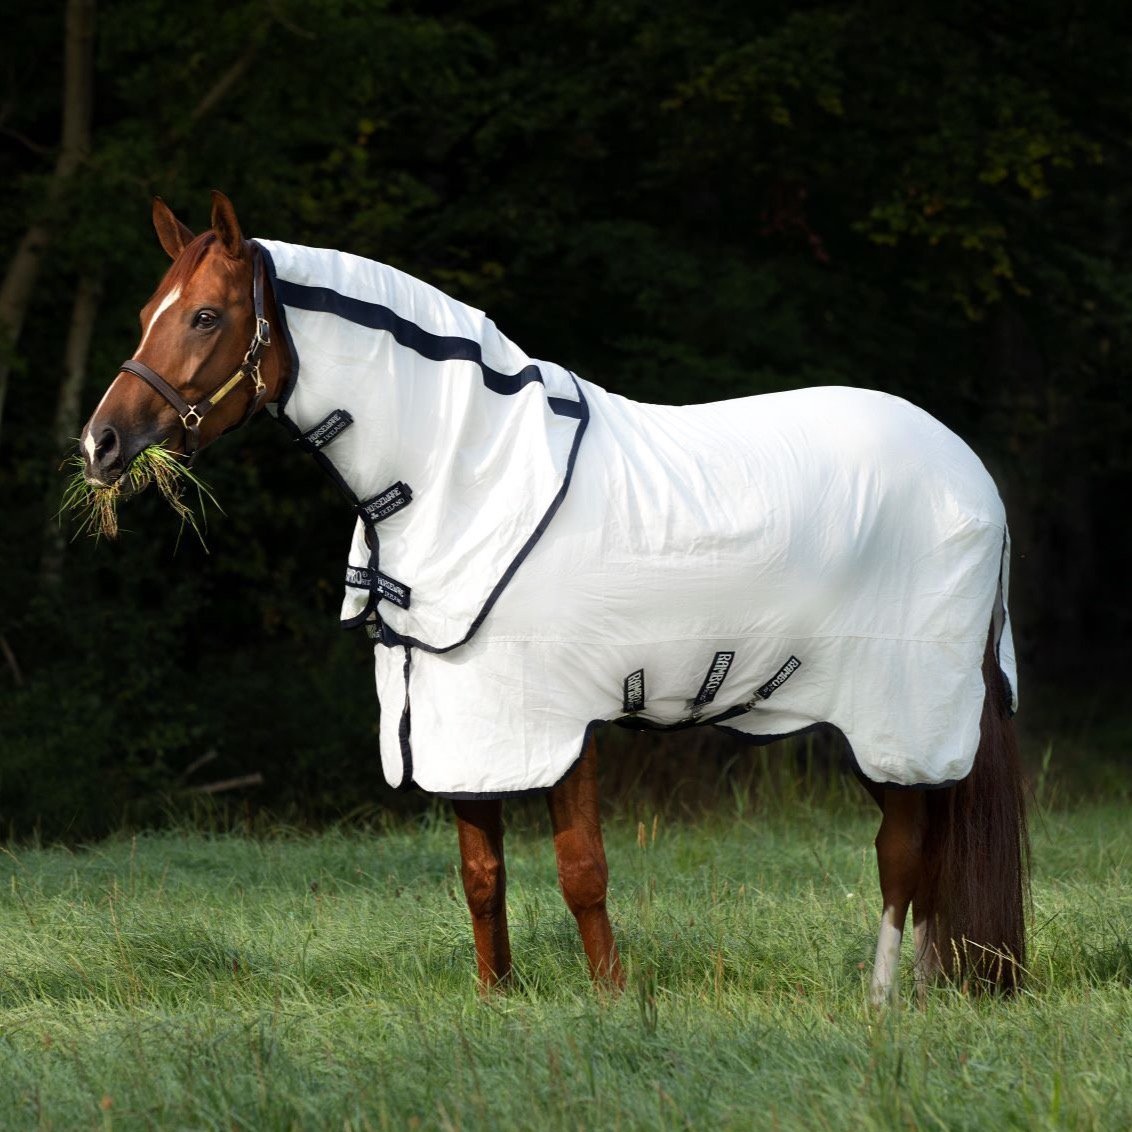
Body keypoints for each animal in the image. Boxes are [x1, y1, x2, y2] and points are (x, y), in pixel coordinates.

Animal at [79, 192, 1028, 1002]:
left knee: (902, 853)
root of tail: (971, 472)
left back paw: (882, 1003)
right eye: (147, 314)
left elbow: (582, 871)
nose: (101, 442)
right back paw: (927, 990)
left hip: (900, 713)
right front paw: (495, 998)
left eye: (207, 316)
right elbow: (481, 874)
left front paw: (613, 1002)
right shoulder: (461, 719)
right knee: (925, 849)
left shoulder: (559, 717)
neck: (463, 471)